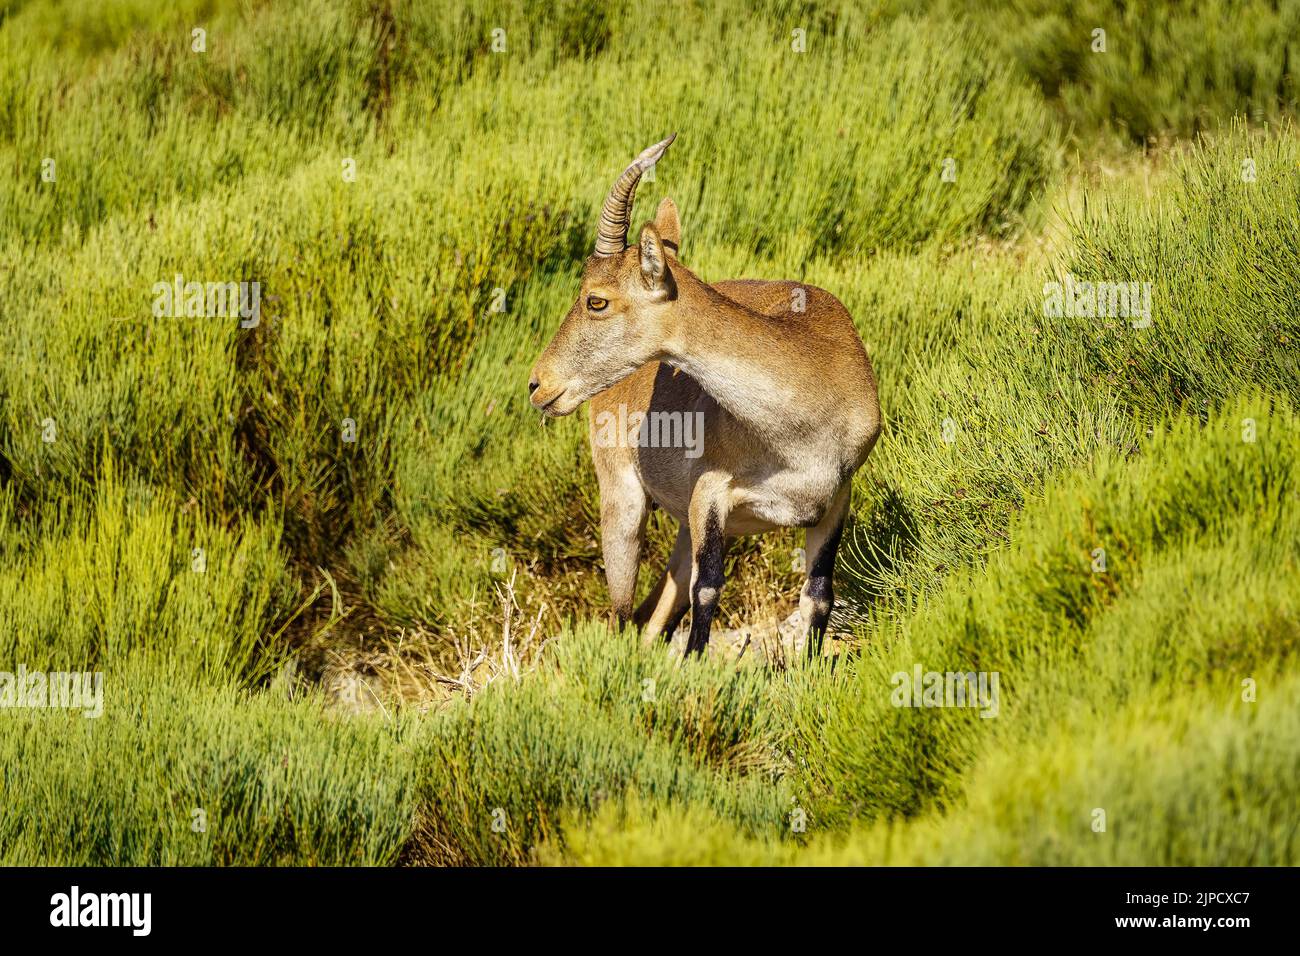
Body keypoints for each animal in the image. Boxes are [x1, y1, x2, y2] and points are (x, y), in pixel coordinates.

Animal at [528, 135, 881, 656]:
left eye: (596, 299)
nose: (539, 384)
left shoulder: (835, 499)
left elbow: (818, 594)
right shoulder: (710, 495)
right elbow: (708, 589)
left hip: (680, 526)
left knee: (657, 611)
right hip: (623, 500)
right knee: (623, 613)